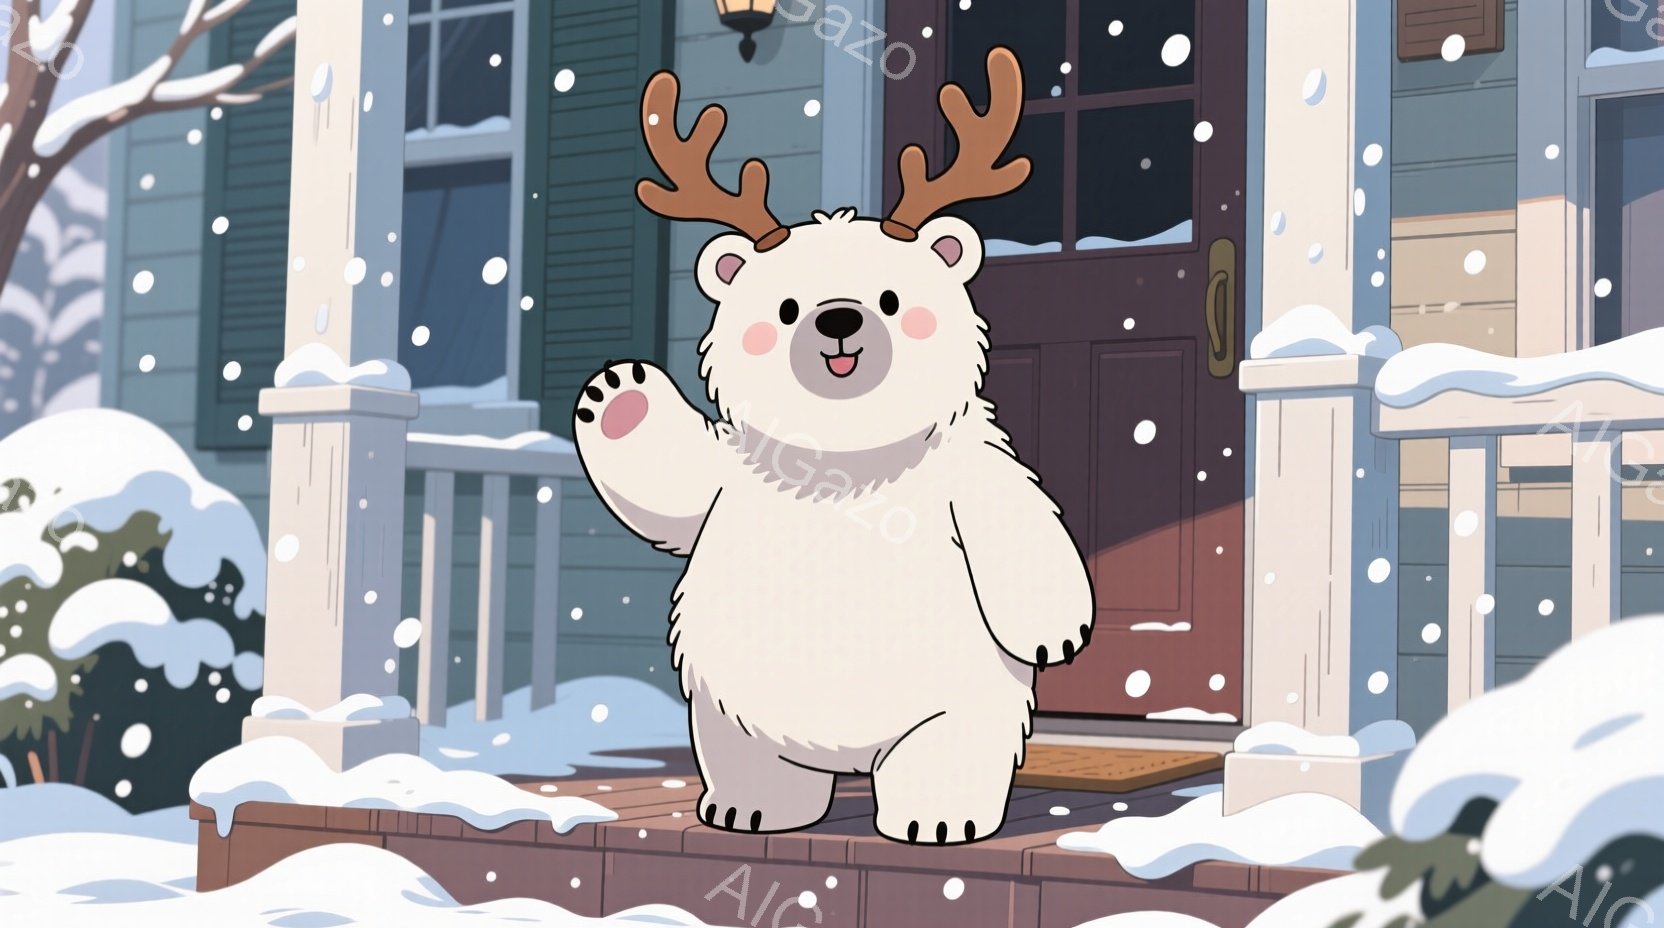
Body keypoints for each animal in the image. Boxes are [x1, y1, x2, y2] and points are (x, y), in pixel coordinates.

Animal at [572, 47, 1094, 845]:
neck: (845, 460)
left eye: (892, 299)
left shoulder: (966, 471)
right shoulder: (741, 472)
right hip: (731, 704)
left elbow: (1013, 519)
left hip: (951, 700)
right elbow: (678, 493)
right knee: (750, 753)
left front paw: (1058, 632)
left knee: (947, 747)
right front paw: (618, 394)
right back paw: (751, 806)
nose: (838, 318)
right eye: (785, 307)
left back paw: (936, 815)